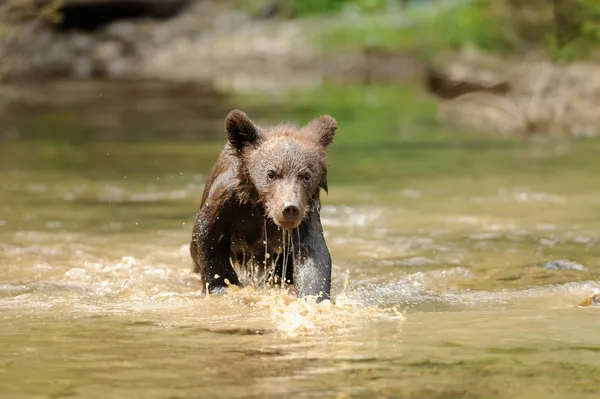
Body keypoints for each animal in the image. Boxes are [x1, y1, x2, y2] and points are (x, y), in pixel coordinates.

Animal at [190, 109, 336, 304]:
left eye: (306, 175)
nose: (290, 208)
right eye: (271, 173)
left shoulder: (307, 214)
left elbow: (312, 254)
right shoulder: (225, 204)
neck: (260, 205)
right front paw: (222, 286)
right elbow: (209, 240)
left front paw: (313, 299)